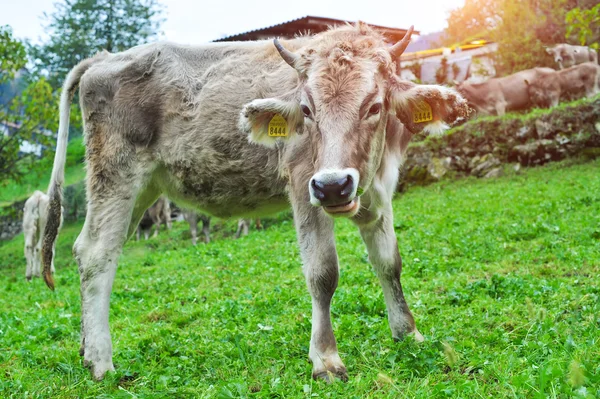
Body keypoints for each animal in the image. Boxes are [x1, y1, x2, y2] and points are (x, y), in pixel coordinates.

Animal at [42, 22, 472, 382]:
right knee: (97, 254)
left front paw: (408, 332)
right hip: (117, 175)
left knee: (92, 250)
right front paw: (326, 359)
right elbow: (323, 274)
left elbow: (389, 263)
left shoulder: (378, 194)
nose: (333, 186)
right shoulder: (303, 186)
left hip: (142, 191)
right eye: (306, 110)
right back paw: (102, 362)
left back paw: (86, 349)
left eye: (375, 106)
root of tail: (105, 58)